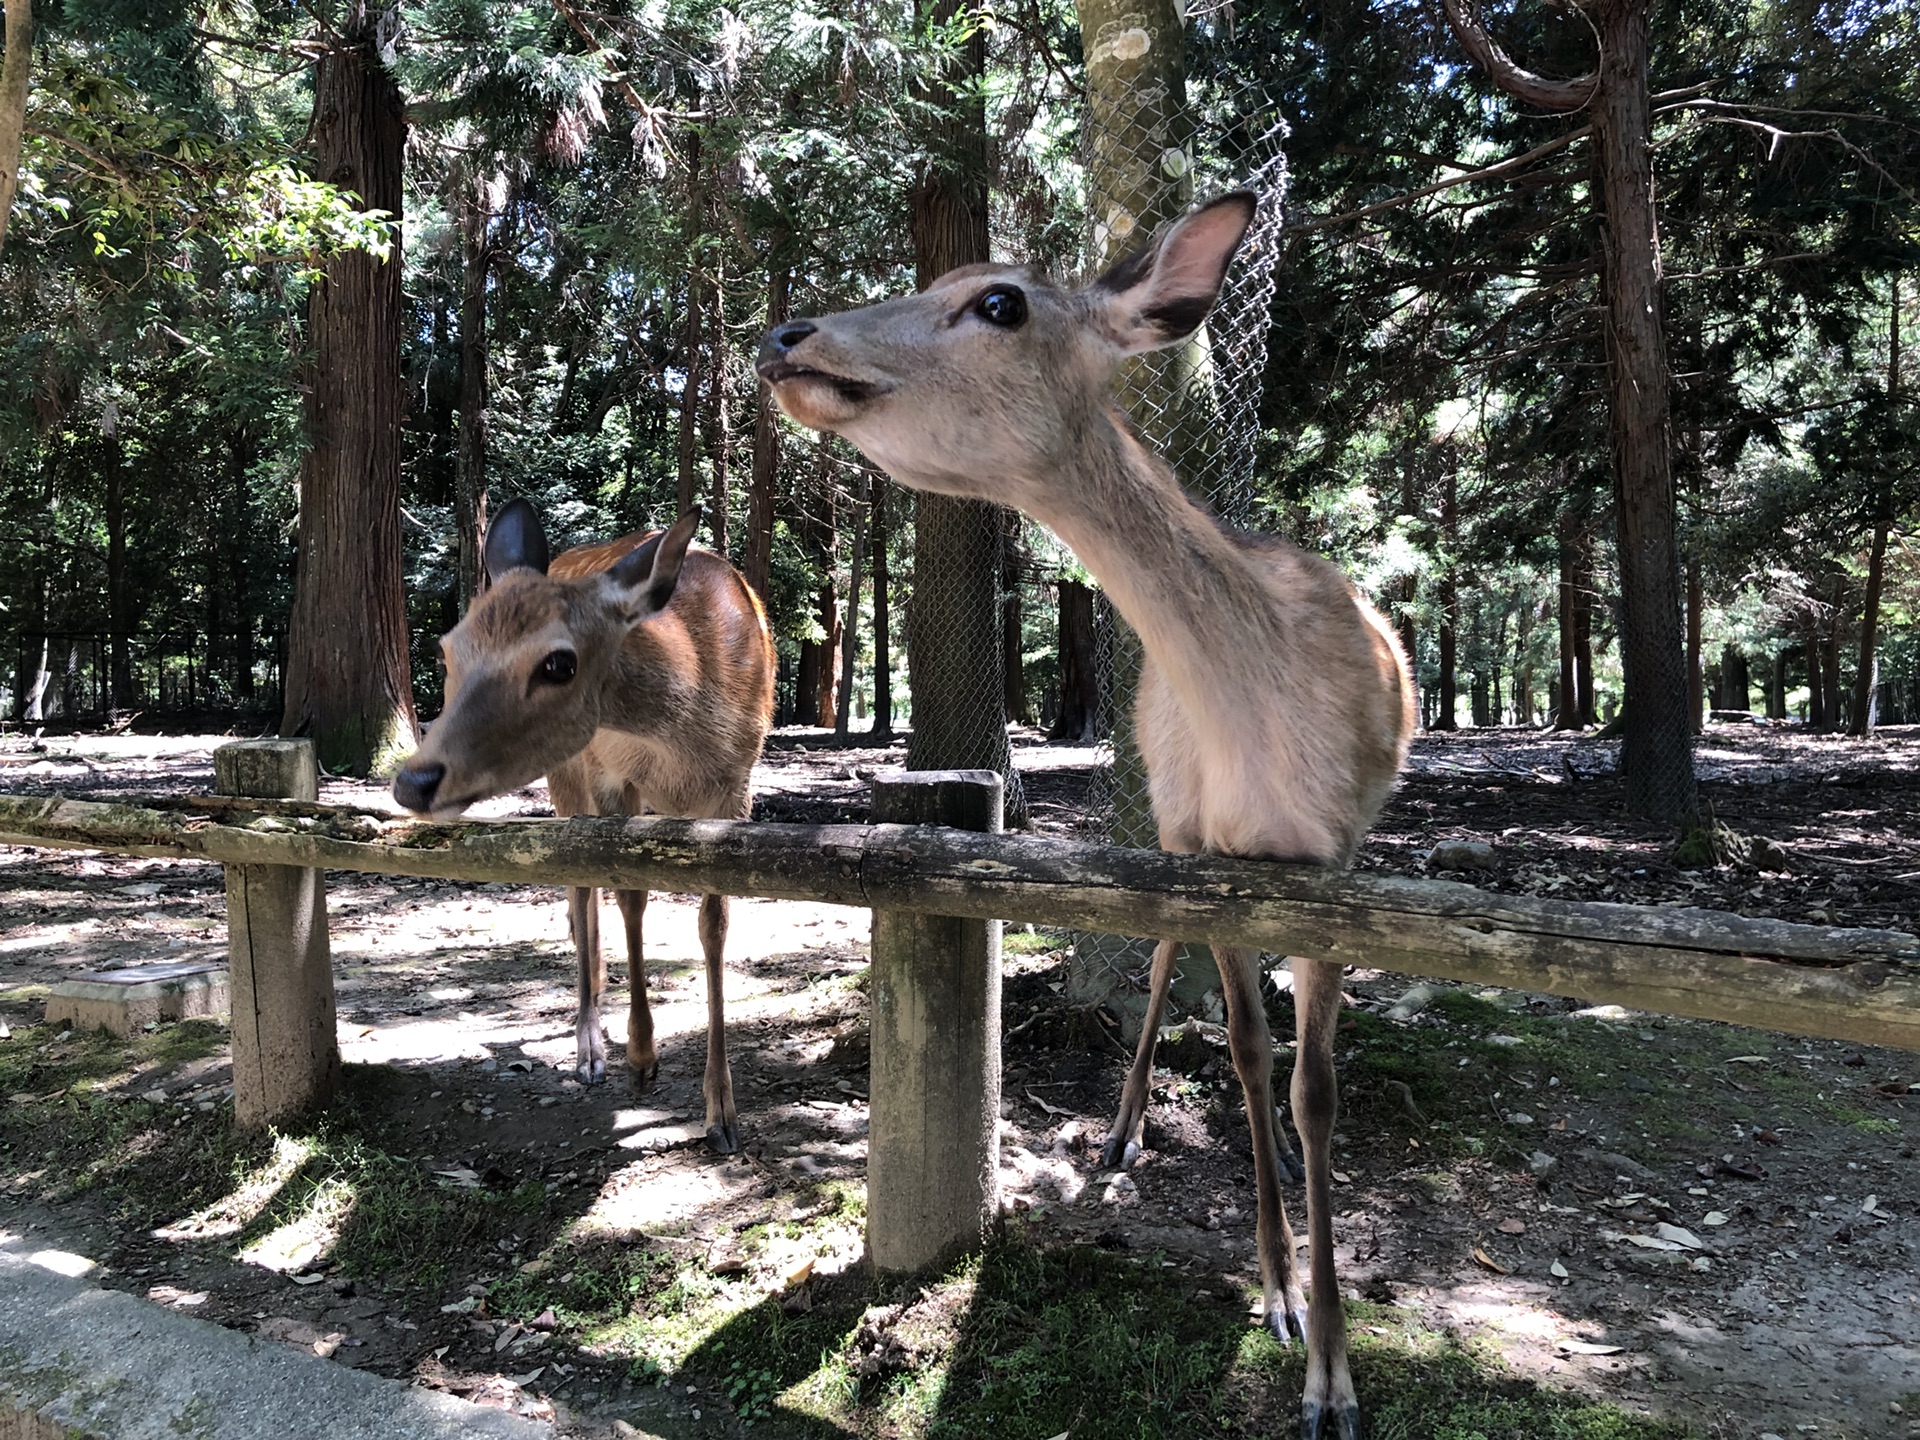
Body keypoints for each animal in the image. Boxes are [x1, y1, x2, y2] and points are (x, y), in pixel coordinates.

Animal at [389, 503, 779, 1159]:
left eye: (559, 663)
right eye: (448, 650)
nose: (413, 781)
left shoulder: (736, 785)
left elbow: (714, 925)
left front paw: (723, 1112)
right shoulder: (612, 777)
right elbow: (630, 896)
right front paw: (642, 1057)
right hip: (567, 780)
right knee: (579, 889)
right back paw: (591, 1045)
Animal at [760, 194, 1413, 1440]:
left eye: (1000, 300)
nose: (787, 333)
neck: (1265, 733)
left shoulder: (1340, 862)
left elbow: (1316, 1091)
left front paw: (1336, 1379)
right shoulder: (1211, 854)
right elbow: (1248, 1053)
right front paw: (1278, 1296)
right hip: (1166, 814)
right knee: (1163, 968)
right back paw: (1123, 1129)